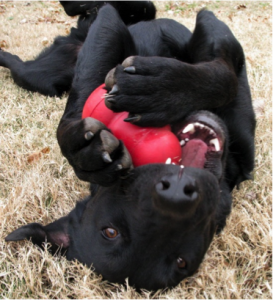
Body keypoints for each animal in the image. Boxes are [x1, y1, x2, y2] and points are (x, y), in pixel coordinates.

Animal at [4, 0, 255, 290]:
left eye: (182, 262)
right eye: (111, 231)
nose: (176, 193)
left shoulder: (215, 31)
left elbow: (225, 72)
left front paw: (163, 89)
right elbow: (79, 102)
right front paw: (85, 153)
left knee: (131, 11)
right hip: (38, 77)